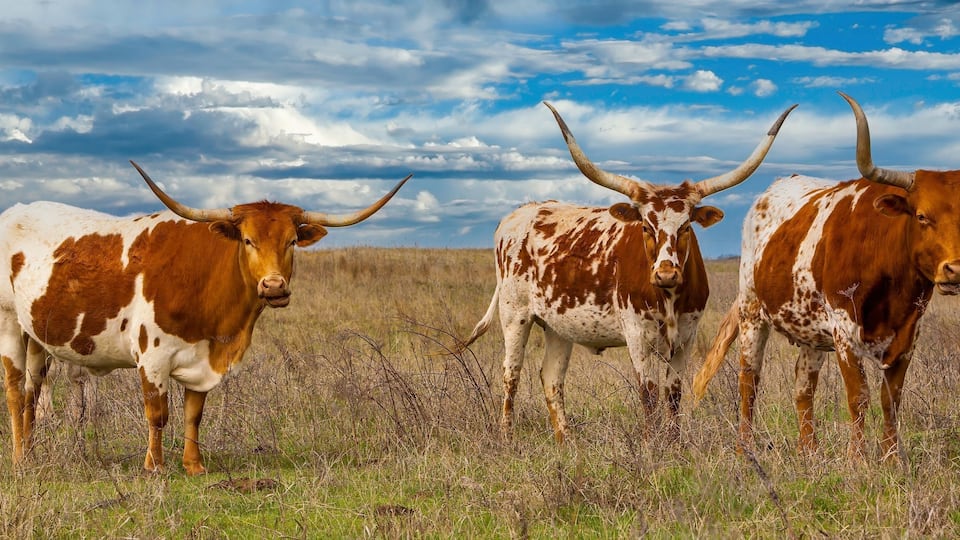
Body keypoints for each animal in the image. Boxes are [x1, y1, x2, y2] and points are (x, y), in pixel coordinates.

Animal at [0, 162, 410, 474]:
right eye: (247, 240)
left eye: (292, 241)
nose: (274, 286)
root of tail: (15, 210)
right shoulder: (152, 356)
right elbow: (158, 413)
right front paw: (155, 466)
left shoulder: (205, 358)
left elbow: (193, 414)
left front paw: (194, 466)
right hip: (8, 325)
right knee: (16, 392)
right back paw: (20, 460)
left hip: (37, 335)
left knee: (33, 392)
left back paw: (32, 454)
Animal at [460, 101, 796, 442]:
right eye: (646, 226)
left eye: (686, 226)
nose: (666, 274)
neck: (669, 298)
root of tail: (518, 214)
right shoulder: (637, 336)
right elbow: (648, 394)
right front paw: (651, 446)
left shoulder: (686, 337)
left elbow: (673, 394)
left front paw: (673, 444)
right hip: (514, 314)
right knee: (510, 373)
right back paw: (507, 436)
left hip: (558, 325)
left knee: (551, 377)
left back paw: (566, 441)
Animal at [692, 92, 960, 461]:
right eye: (921, 216)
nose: (955, 268)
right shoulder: (844, 332)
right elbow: (859, 396)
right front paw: (858, 461)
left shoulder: (909, 334)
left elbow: (891, 399)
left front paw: (892, 460)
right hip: (752, 312)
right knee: (749, 379)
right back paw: (745, 448)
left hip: (810, 332)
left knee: (803, 386)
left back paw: (810, 451)